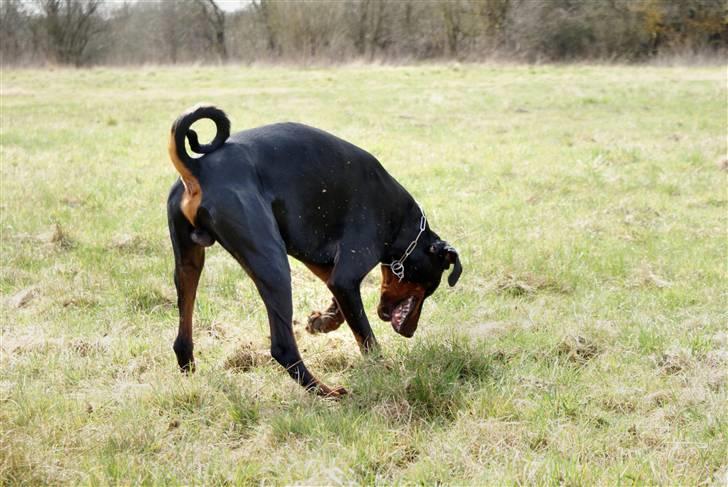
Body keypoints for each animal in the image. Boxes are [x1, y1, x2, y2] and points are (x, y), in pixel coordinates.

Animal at [167, 105, 460, 398]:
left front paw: (321, 322)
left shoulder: (322, 264)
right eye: (430, 287)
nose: (410, 332)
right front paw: (384, 370)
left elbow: (342, 307)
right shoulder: (346, 274)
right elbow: (366, 335)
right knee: (282, 348)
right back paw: (326, 392)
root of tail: (198, 167)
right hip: (273, 266)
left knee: (182, 338)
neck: (401, 221)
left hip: (189, 262)